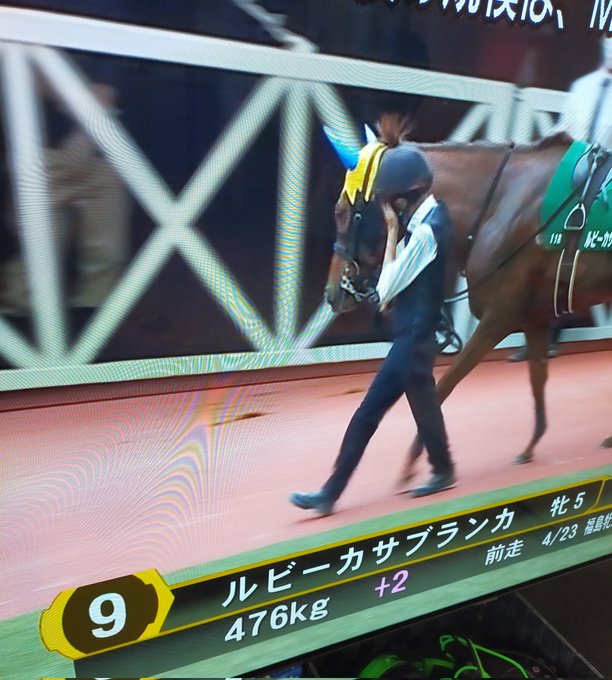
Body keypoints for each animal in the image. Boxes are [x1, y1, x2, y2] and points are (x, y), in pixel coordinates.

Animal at [324, 116, 612, 484]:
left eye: (343, 212)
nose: (332, 292)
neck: (502, 202)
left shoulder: (498, 316)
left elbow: (446, 384)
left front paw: (415, 463)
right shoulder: (535, 314)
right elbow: (537, 378)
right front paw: (530, 446)